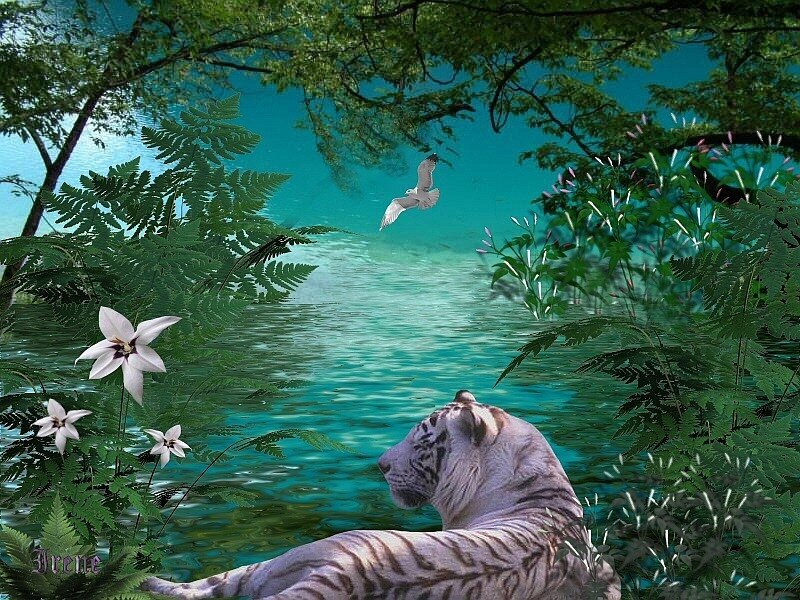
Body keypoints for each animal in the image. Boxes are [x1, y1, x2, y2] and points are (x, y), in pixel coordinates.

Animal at [142, 390, 620, 599]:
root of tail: (347, 576)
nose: (381, 464)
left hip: (293, 557)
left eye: (422, 439)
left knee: (207, 586)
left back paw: (144, 578)